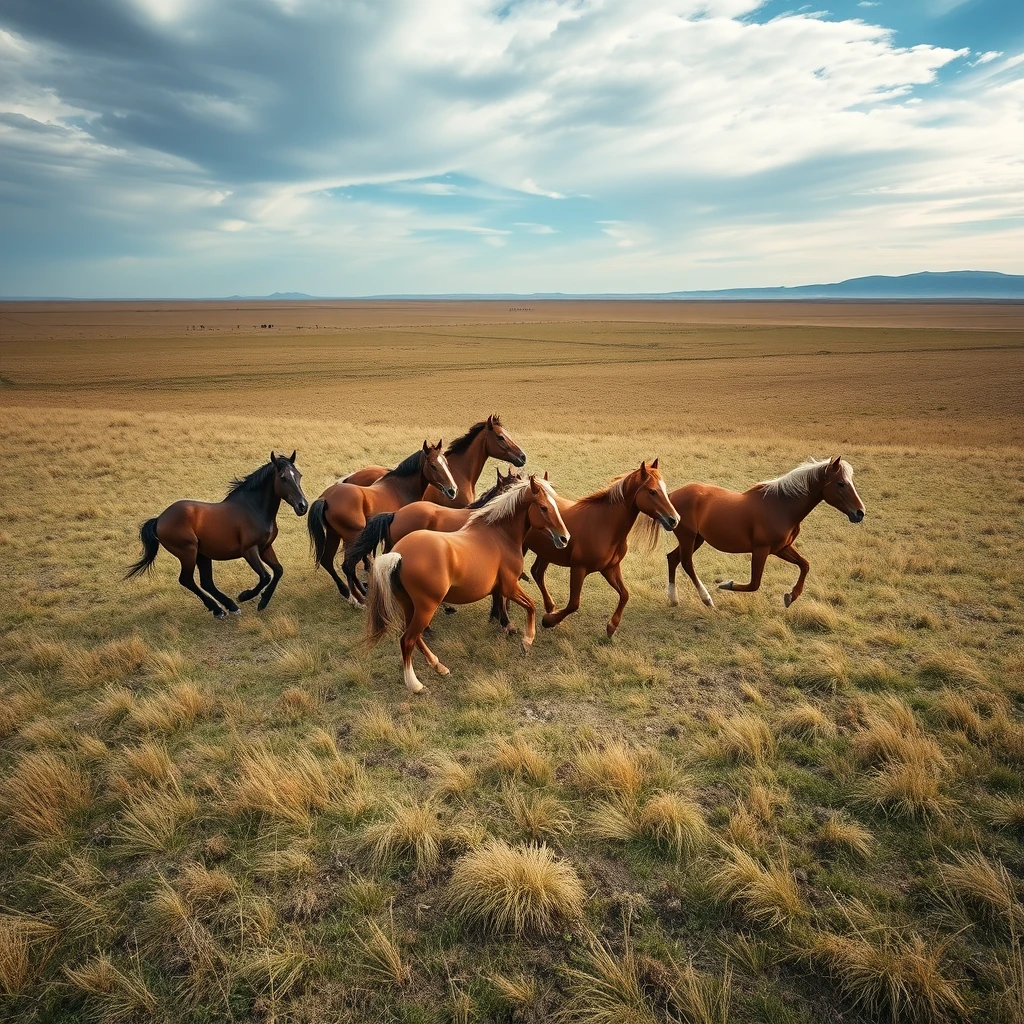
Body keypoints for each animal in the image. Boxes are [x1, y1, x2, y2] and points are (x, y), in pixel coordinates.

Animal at [124, 450, 307, 614]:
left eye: (299, 475)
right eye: (283, 478)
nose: (303, 506)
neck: (253, 508)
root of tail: (159, 519)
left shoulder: (265, 548)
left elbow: (278, 571)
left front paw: (263, 601)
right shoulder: (249, 550)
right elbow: (265, 576)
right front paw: (245, 596)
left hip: (201, 554)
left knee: (206, 582)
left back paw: (230, 607)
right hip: (188, 553)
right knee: (187, 580)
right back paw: (218, 609)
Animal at [305, 438, 458, 598]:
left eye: (446, 463)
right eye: (433, 466)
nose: (452, 490)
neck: (401, 487)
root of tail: (326, 498)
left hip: (334, 535)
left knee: (327, 561)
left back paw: (346, 591)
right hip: (352, 537)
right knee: (348, 565)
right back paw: (362, 592)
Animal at [366, 479, 573, 696]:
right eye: (543, 507)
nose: (565, 538)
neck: (499, 535)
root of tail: (399, 556)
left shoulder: (501, 589)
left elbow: (503, 605)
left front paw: (507, 626)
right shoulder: (510, 587)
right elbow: (531, 605)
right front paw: (527, 641)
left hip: (410, 606)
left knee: (415, 638)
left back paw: (439, 666)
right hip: (426, 607)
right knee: (407, 640)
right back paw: (416, 684)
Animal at [528, 460, 679, 634]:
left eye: (665, 489)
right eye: (652, 491)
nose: (674, 520)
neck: (604, 524)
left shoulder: (610, 568)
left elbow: (625, 594)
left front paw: (612, 626)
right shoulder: (579, 569)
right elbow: (574, 604)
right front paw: (549, 621)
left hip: (545, 553)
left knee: (537, 573)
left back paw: (550, 606)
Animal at [663, 456, 864, 606]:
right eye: (840, 483)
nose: (860, 513)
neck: (781, 507)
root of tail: (671, 496)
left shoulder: (781, 548)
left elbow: (805, 565)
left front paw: (791, 596)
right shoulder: (761, 550)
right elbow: (754, 584)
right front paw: (726, 584)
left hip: (697, 539)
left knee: (672, 558)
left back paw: (673, 599)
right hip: (688, 538)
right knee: (687, 564)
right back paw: (707, 599)